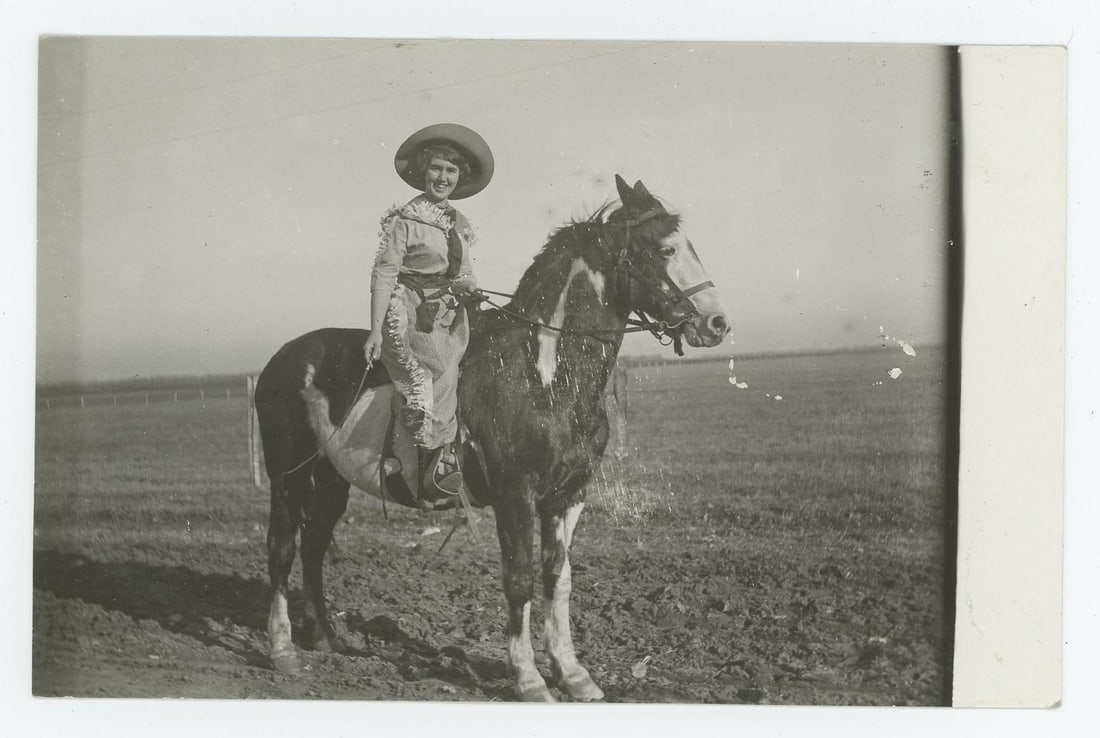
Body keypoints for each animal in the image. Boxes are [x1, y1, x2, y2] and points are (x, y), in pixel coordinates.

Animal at [253, 175, 729, 701]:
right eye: (664, 249)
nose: (715, 323)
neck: (544, 374)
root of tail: (282, 358)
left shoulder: (569, 495)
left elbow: (558, 577)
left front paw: (573, 673)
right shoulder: (514, 494)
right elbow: (519, 578)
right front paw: (528, 678)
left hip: (332, 480)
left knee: (314, 546)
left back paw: (323, 636)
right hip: (288, 476)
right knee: (281, 548)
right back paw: (283, 649)